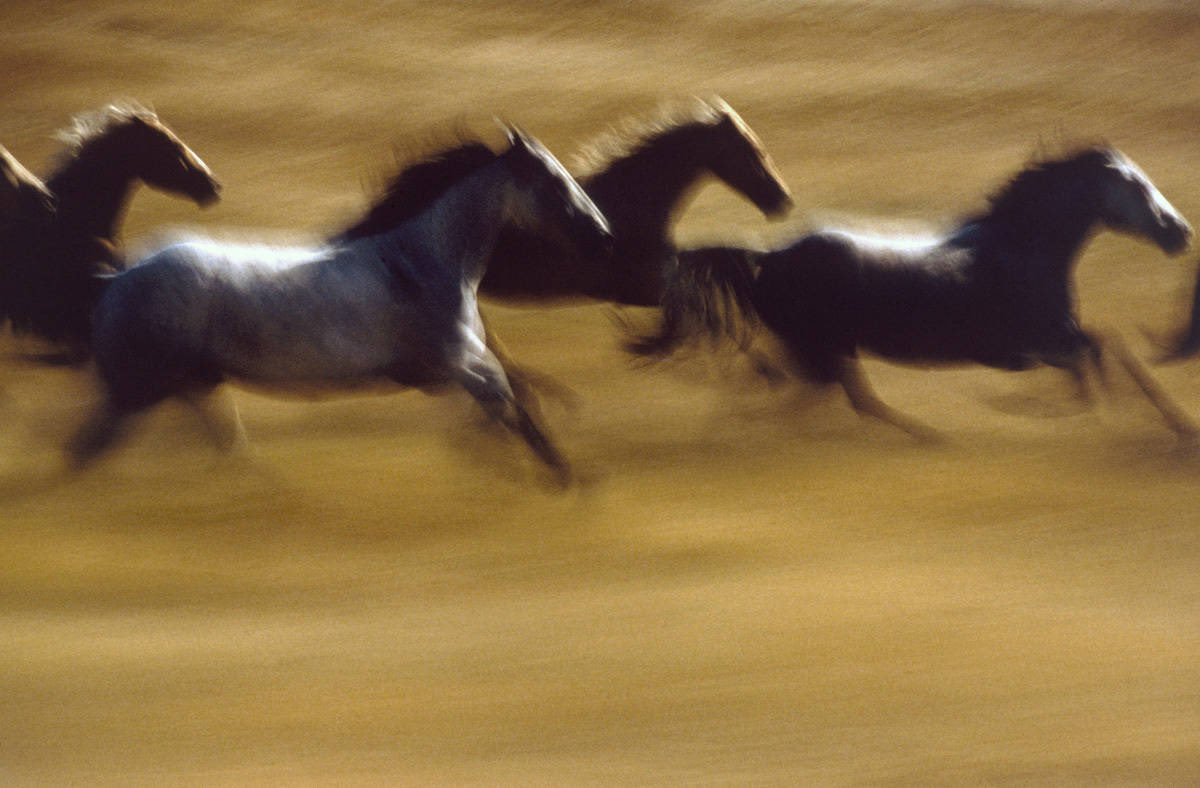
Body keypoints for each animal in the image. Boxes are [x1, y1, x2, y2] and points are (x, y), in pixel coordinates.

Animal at [68, 128, 612, 484]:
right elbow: (516, 410)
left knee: (224, 445)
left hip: (192, 383)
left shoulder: (451, 372)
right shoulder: (462, 365)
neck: (420, 261)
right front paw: (567, 481)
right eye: (553, 182)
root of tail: (115, 278)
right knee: (86, 451)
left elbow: (512, 407)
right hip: (140, 387)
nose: (601, 233)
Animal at [633, 145, 1198, 440]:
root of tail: (766, 258)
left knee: (844, 400)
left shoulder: (1050, 344)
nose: (1180, 233)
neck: (1022, 248)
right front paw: (1169, 423)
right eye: (1137, 187)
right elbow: (1106, 354)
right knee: (832, 401)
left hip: (827, 350)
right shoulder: (1041, 344)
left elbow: (1102, 356)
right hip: (819, 348)